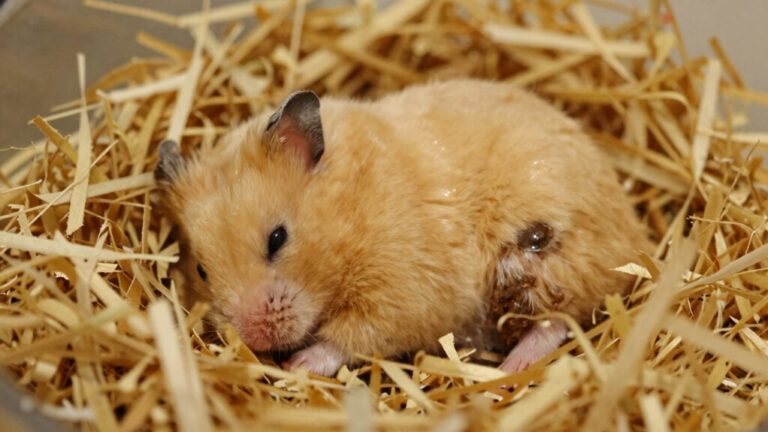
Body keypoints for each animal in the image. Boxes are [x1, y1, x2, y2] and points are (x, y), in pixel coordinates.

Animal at [155, 79, 651, 376]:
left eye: (278, 239)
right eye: (201, 271)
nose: (255, 337)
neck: (352, 216)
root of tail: (638, 238)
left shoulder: (401, 296)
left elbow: (349, 338)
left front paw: (298, 365)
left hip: (551, 258)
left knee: (556, 322)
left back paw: (508, 368)